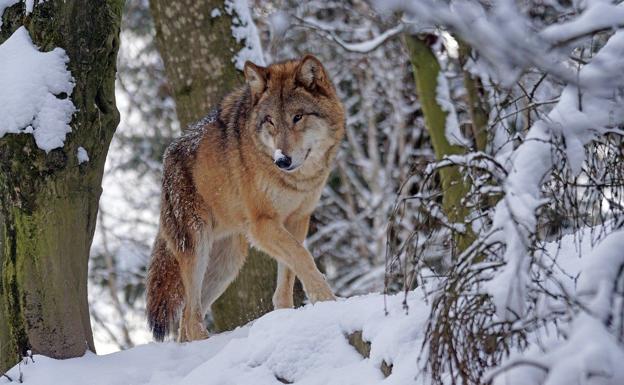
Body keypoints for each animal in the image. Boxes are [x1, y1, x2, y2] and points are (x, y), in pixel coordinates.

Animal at [146, 54, 346, 342]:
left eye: (298, 117)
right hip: (198, 248)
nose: (282, 160)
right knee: (191, 317)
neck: (296, 181)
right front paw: (328, 301)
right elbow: (303, 258)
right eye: (270, 120)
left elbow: (289, 273)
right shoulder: (262, 225)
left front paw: (286, 316)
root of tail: (167, 159)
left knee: (186, 320)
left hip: (227, 263)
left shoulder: (297, 220)